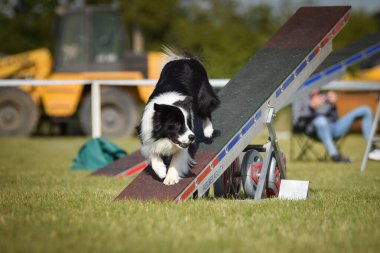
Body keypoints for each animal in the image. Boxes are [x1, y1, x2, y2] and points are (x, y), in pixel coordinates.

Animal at [137, 50, 220, 185]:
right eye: (176, 124)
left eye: (188, 123)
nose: (192, 137)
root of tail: (185, 59)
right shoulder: (146, 134)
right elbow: (152, 152)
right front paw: (161, 170)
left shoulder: (184, 144)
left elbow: (176, 159)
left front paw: (170, 178)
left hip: (203, 98)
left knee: (206, 111)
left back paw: (208, 131)